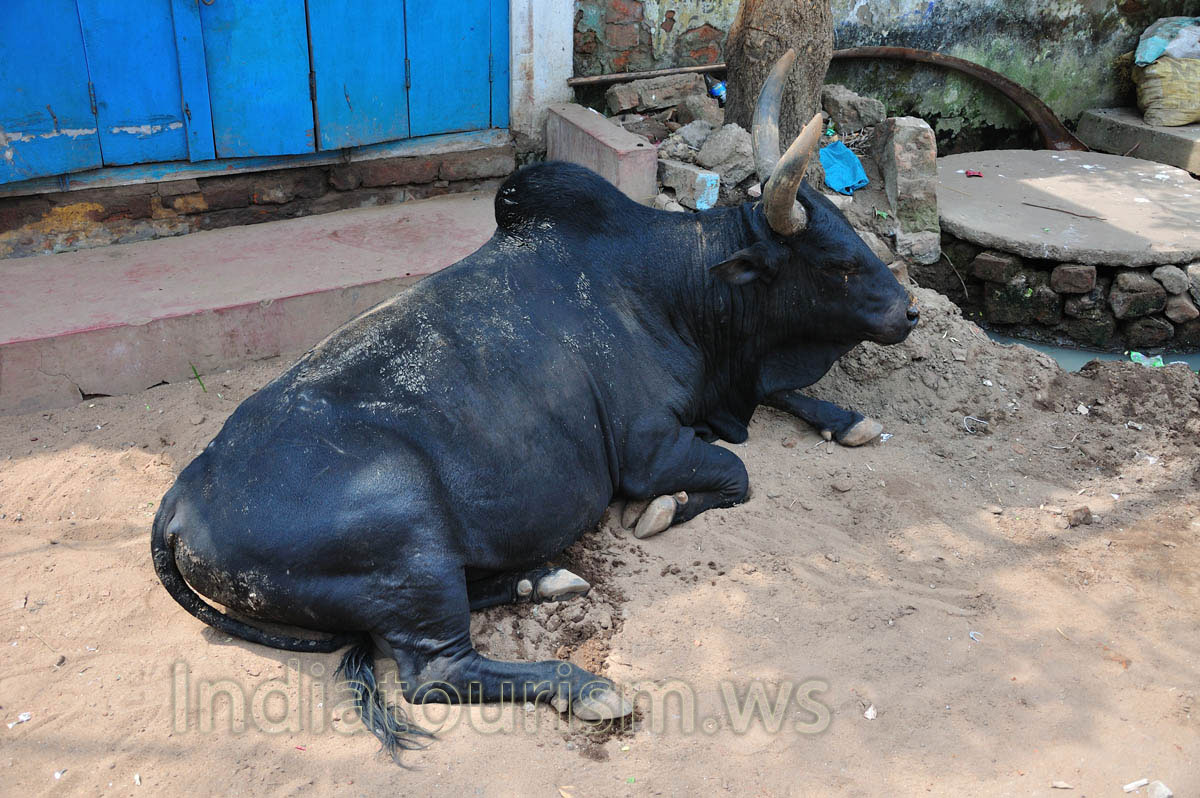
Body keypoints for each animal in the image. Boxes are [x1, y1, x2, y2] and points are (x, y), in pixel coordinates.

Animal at [151, 50, 917, 758]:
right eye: (836, 265)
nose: (909, 311)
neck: (672, 289)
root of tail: (181, 500)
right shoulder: (648, 451)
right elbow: (735, 473)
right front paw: (661, 512)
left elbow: (783, 397)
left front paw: (849, 420)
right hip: (412, 549)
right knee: (438, 671)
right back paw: (584, 685)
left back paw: (542, 580)